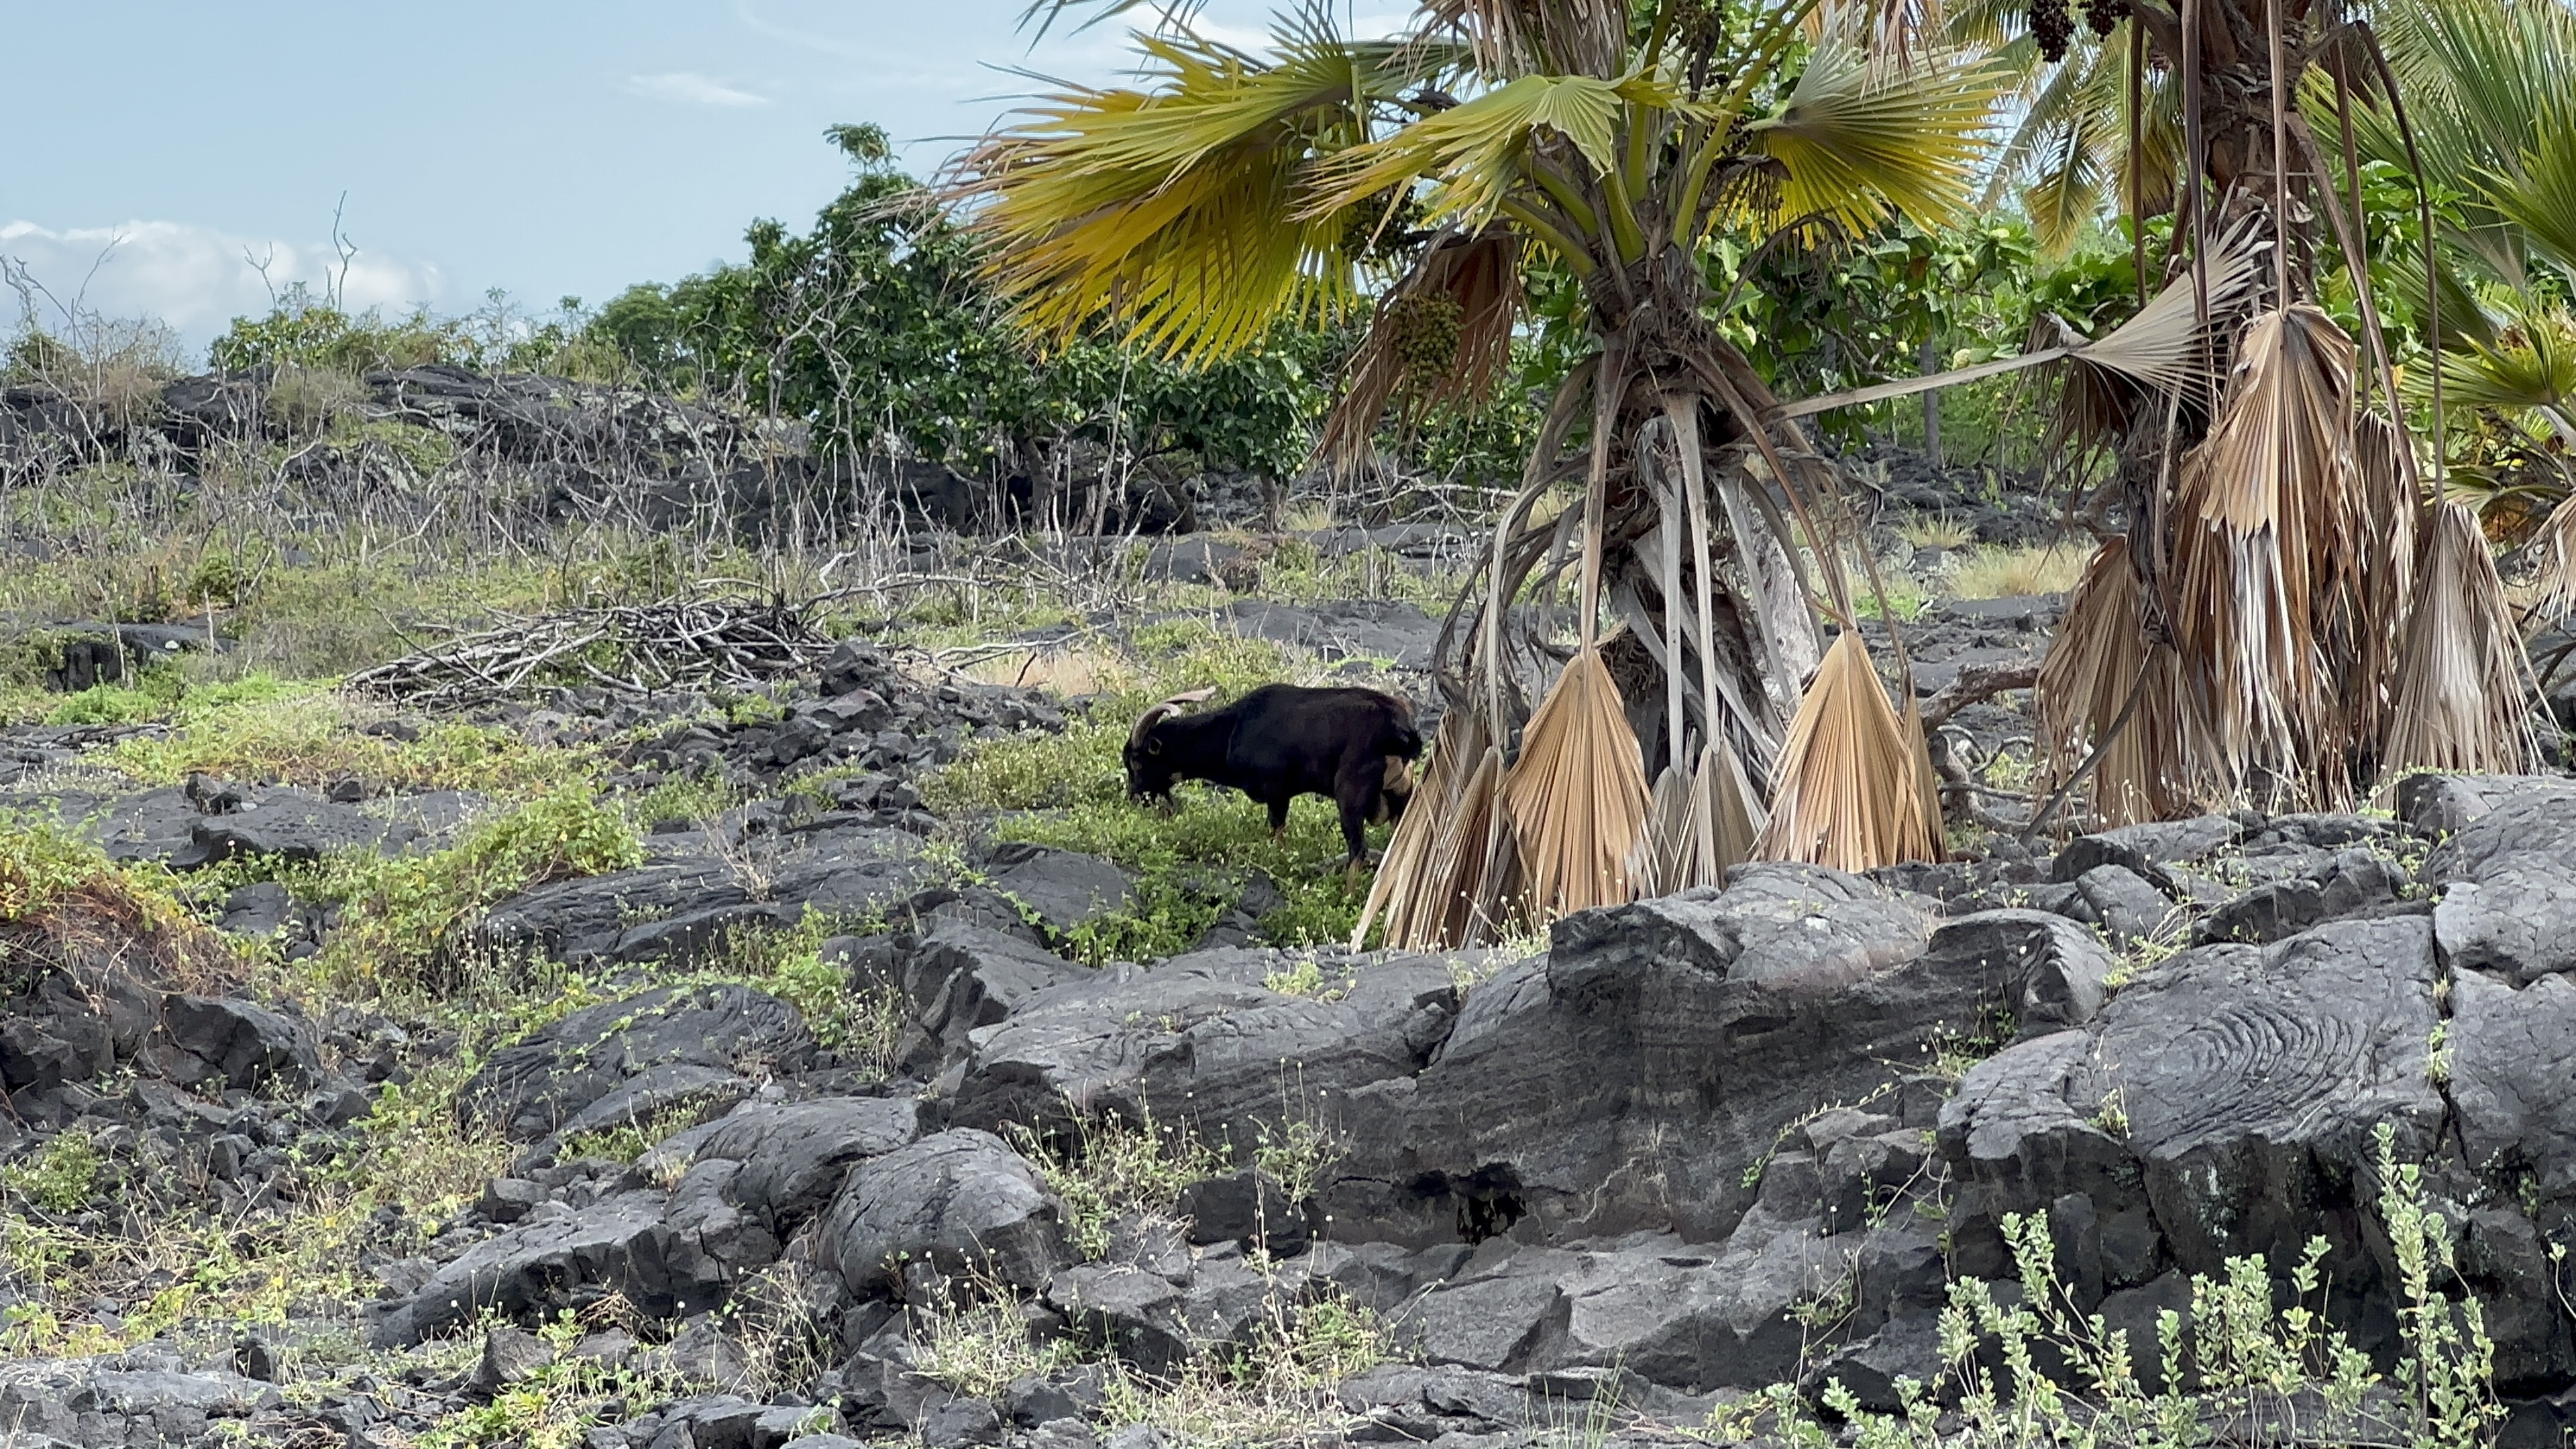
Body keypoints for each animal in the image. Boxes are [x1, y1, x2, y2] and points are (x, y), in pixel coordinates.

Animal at [1118, 680, 1421, 861]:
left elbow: (1277, 830)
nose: (1135, 798)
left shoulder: (1277, 790)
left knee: (1358, 851)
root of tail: (1400, 727)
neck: (1232, 728)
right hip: (1401, 795)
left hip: (1351, 794)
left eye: (1136, 761)